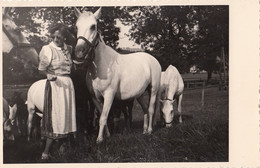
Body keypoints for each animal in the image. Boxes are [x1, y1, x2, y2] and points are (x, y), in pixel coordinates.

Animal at [74, 7, 161, 143]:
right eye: (76, 27)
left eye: (93, 26)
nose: (79, 52)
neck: (100, 67)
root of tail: (153, 59)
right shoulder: (95, 98)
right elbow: (101, 116)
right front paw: (107, 135)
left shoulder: (109, 95)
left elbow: (103, 117)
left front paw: (99, 140)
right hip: (140, 94)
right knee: (145, 109)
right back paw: (144, 131)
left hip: (153, 90)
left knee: (151, 109)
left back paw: (150, 131)